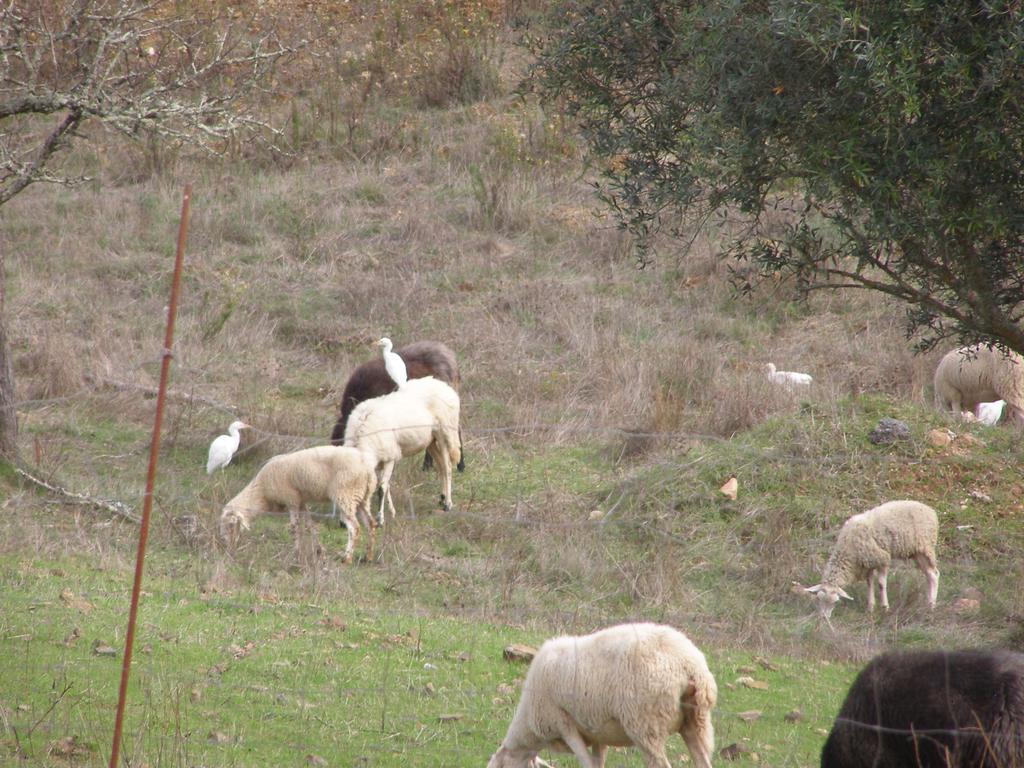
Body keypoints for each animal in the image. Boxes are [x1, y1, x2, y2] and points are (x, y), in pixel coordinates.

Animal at [218, 444, 378, 565]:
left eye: (230, 525)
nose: (225, 545)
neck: (261, 492)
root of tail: (367, 469)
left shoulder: (292, 500)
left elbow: (294, 528)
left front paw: (296, 554)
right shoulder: (301, 502)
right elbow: (310, 526)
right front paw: (319, 551)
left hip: (345, 494)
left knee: (354, 528)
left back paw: (347, 558)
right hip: (362, 497)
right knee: (370, 523)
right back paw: (368, 557)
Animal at [344, 376, 460, 528]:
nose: (342, 525)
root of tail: (445, 387)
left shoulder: (388, 457)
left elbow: (382, 488)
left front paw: (380, 519)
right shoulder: (380, 460)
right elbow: (385, 486)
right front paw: (392, 512)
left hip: (444, 433)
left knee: (447, 468)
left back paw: (448, 504)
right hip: (430, 441)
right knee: (441, 466)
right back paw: (442, 498)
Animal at [489, 622, 720, 768]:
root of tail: (689, 666)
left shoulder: (563, 723)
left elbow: (586, 763)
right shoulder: (598, 733)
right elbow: (598, 762)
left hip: (645, 724)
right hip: (695, 722)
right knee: (702, 761)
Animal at [802, 499, 937, 618]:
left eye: (835, 602)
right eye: (818, 599)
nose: (823, 618)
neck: (847, 546)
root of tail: (931, 510)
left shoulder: (882, 558)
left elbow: (881, 584)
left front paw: (885, 607)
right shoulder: (867, 563)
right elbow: (869, 583)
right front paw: (870, 608)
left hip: (925, 547)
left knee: (934, 574)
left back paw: (932, 605)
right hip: (916, 552)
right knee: (929, 575)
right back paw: (928, 602)